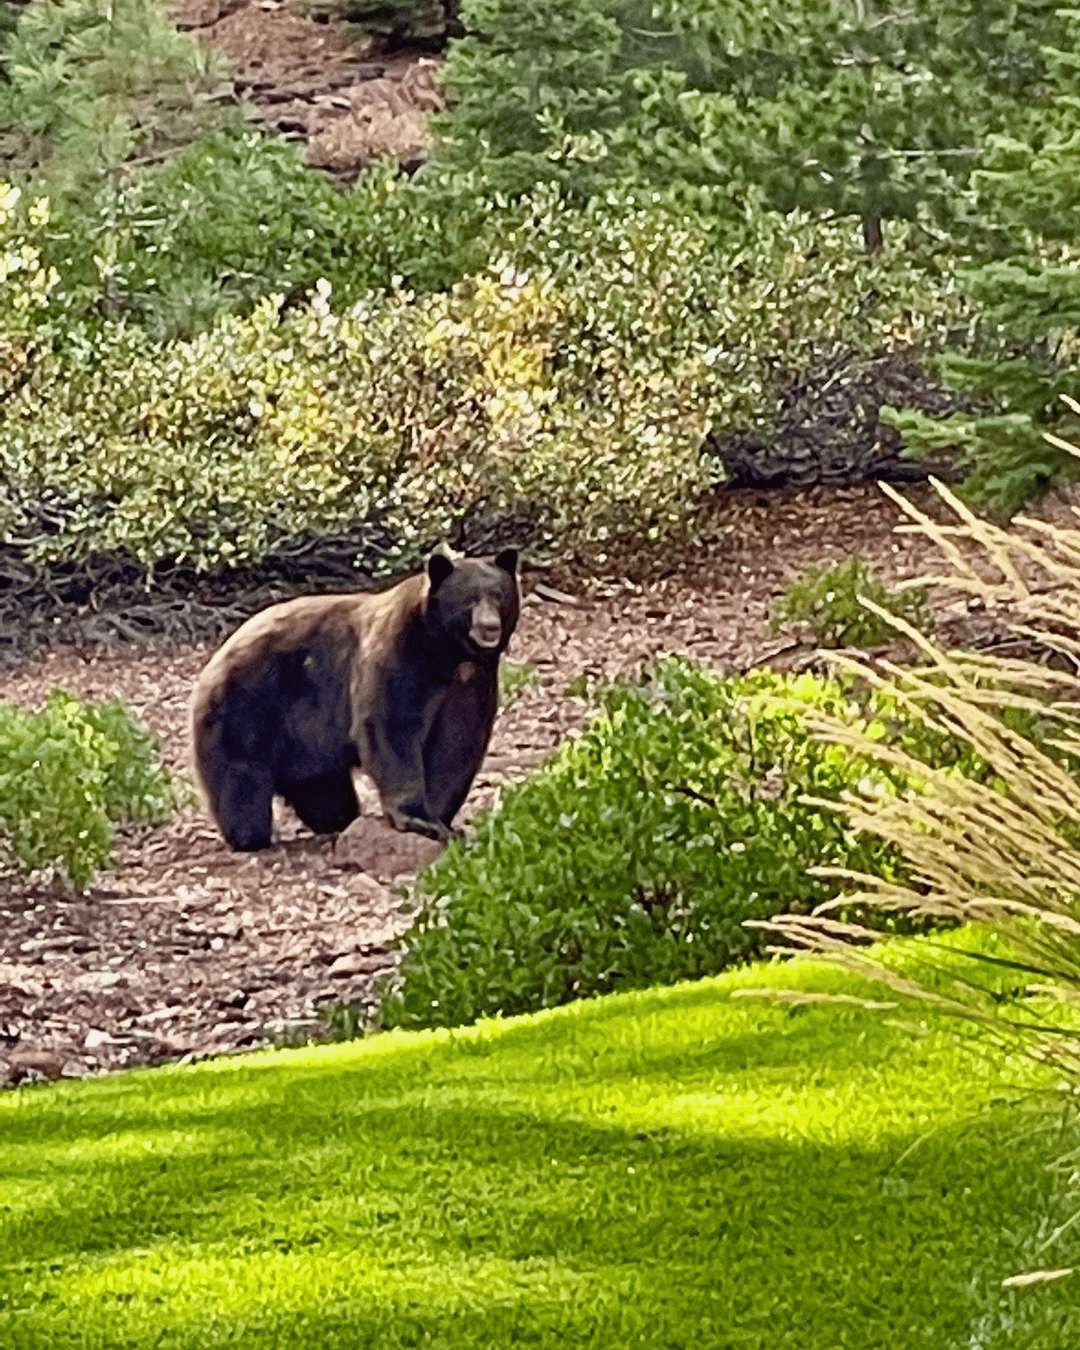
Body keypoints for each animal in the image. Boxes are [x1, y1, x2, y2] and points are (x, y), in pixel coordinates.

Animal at [190, 549, 519, 851]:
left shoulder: (474, 679)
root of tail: (215, 659)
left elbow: (457, 742)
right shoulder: (397, 654)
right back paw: (250, 836)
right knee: (242, 784)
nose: (489, 626)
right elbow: (391, 726)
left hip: (307, 744)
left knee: (325, 793)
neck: (445, 652)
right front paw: (417, 818)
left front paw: (442, 820)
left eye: (498, 595)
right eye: (469, 599)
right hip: (246, 708)